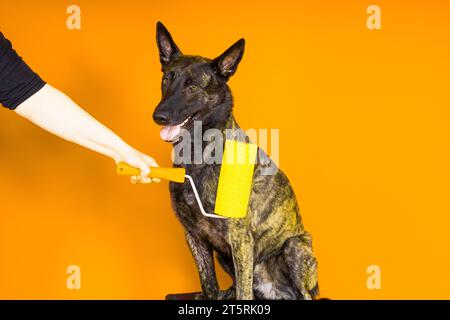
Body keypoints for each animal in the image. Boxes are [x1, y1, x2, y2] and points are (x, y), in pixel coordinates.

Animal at [153, 22, 318, 300]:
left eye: (193, 86)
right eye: (167, 79)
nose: (159, 116)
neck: (199, 154)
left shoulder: (240, 238)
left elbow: (243, 290)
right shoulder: (194, 236)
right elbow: (208, 284)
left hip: (295, 246)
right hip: (224, 256)